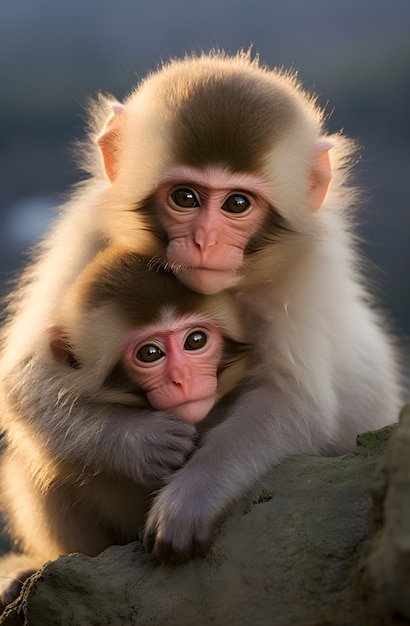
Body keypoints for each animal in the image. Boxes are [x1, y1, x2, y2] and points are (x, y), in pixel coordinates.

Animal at [0, 52, 400, 572]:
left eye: (237, 203)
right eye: (185, 197)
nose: (205, 241)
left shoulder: (308, 271)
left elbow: (295, 402)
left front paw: (190, 498)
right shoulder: (87, 224)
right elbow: (26, 376)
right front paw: (140, 441)